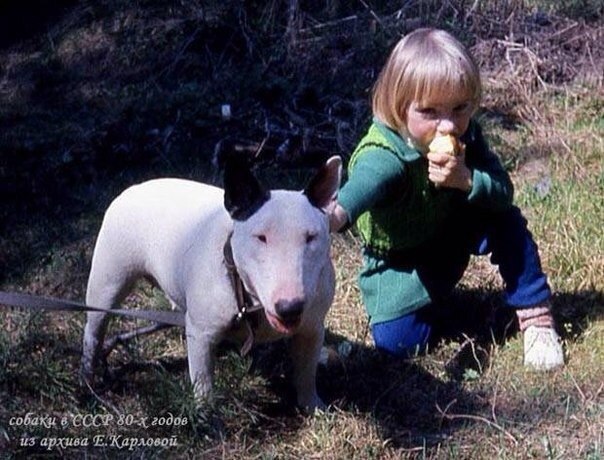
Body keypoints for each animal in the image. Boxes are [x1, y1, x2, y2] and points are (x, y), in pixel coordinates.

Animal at [82, 155, 342, 410]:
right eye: (261, 237)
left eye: (311, 237)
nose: (290, 308)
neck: (249, 298)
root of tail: (131, 189)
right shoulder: (201, 335)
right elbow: (204, 385)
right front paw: (207, 418)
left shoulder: (312, 328)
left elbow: (306, 372)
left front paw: (312, 406)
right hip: (107, 282)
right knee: (94, 330)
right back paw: (87, 381)